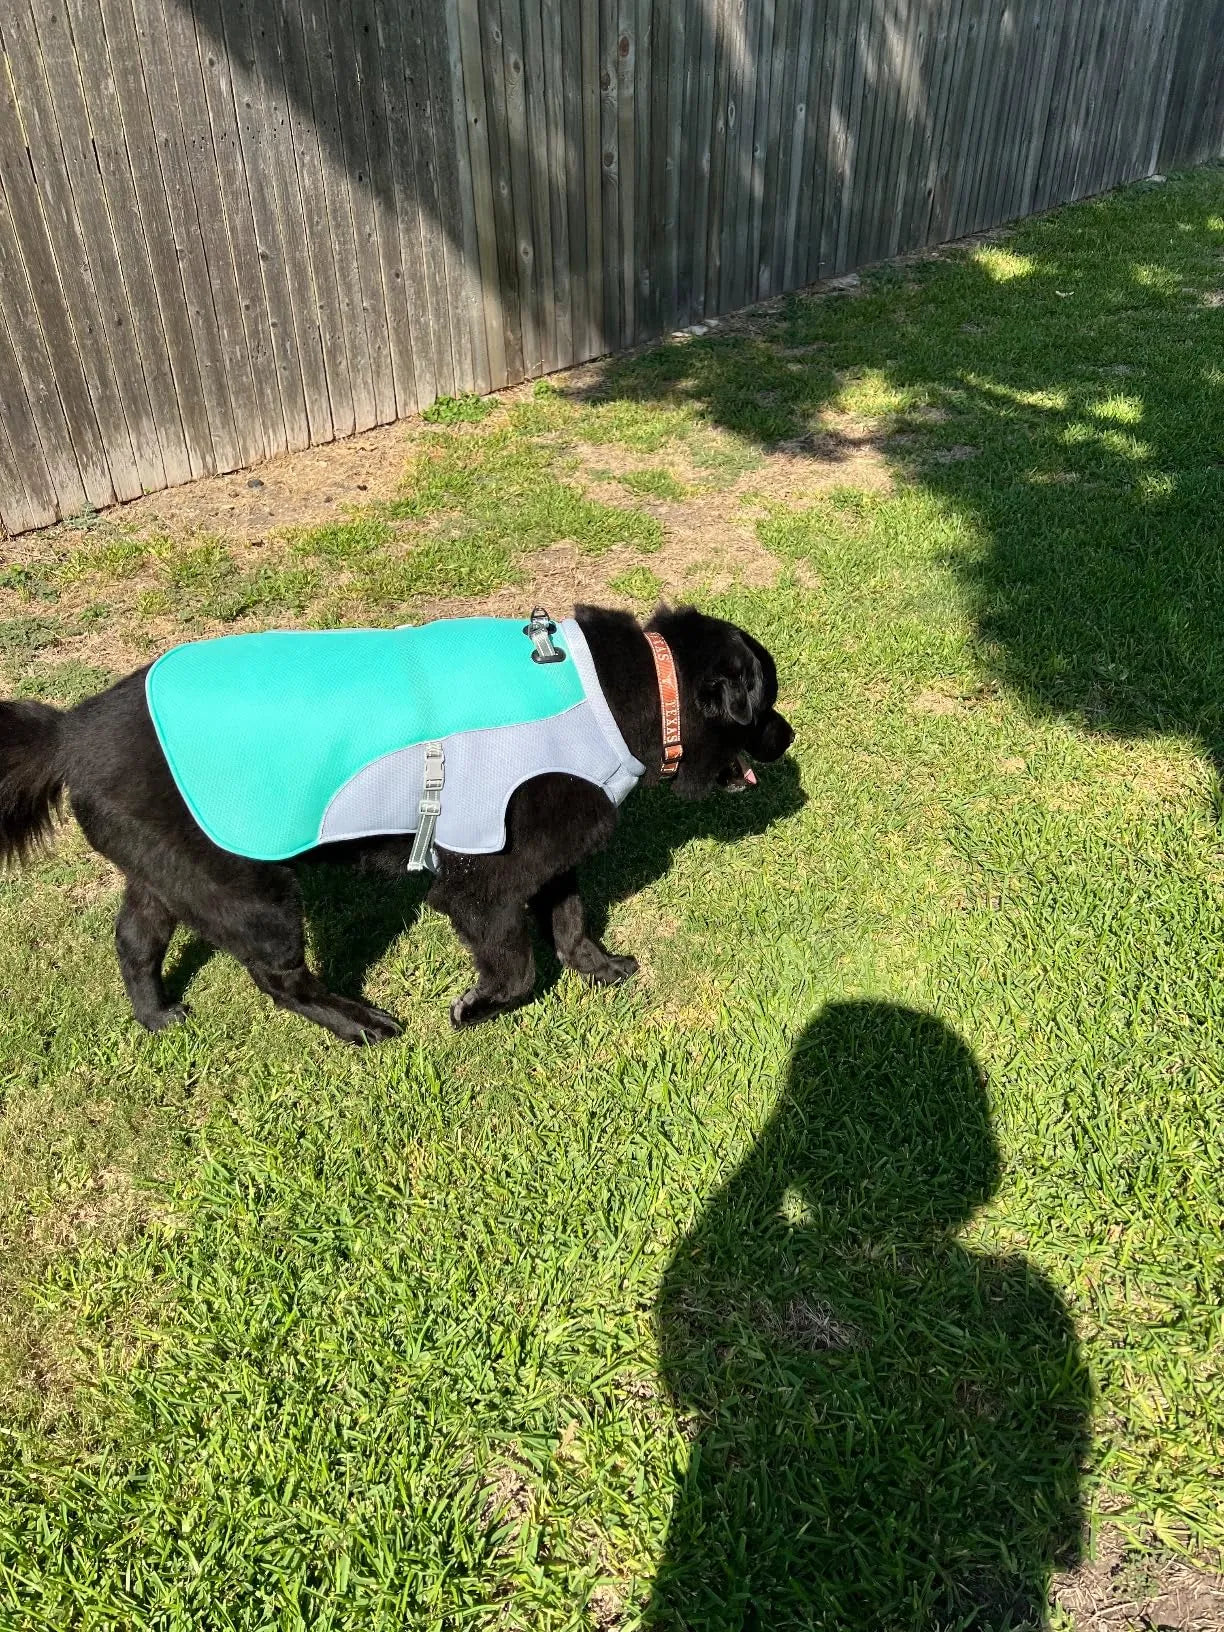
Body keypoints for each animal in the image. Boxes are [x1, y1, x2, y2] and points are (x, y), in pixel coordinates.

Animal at [0, 605, 793, 1043]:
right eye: (764, 705)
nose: (790, 738)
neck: (629, 694)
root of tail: (71, 731)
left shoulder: (552, 854)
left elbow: (569, 922)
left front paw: (598, 968)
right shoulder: (482, 881)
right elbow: (516, 967)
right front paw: (477, 1008)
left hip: (175, 874)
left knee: (134, 940)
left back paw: (155, 1014)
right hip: (254, 894)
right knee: (279, 979)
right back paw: (359, 1022)